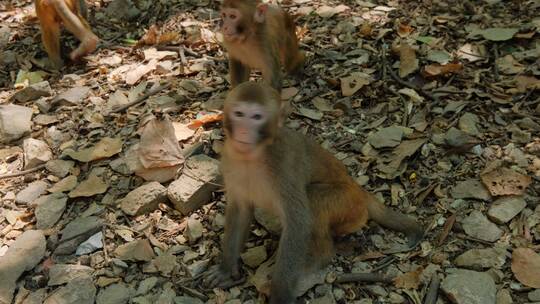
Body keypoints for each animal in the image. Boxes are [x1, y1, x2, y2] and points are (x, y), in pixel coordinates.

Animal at [205, 82, 424, 302]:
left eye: (257, 117)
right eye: (239, 114)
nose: (243, 132)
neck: (253, 156)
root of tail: (358, 189)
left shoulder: (283, 166)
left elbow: (299, 221)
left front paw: (280, 294)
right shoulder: (229, 162)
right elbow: (240, 211)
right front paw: (226, 269)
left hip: (347, 204)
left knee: (313, 199)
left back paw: (318, 259)